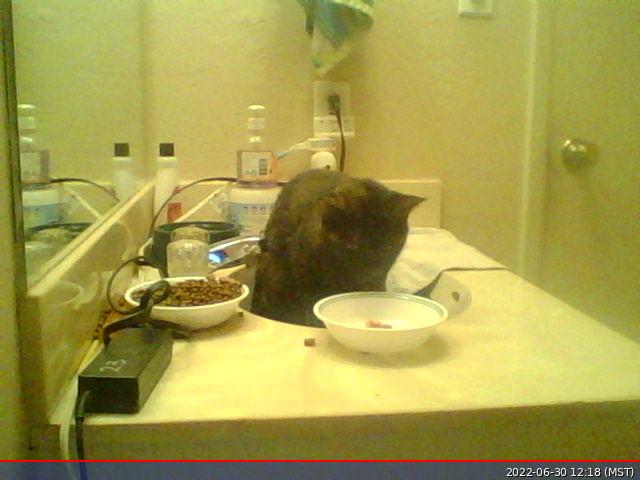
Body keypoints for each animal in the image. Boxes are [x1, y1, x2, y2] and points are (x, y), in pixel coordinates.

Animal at [251, 169, 424, 327]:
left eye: (387, 247)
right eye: (352, 243)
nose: (369, 271)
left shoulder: (377, 281)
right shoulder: (308, 285)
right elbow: (311, 312)